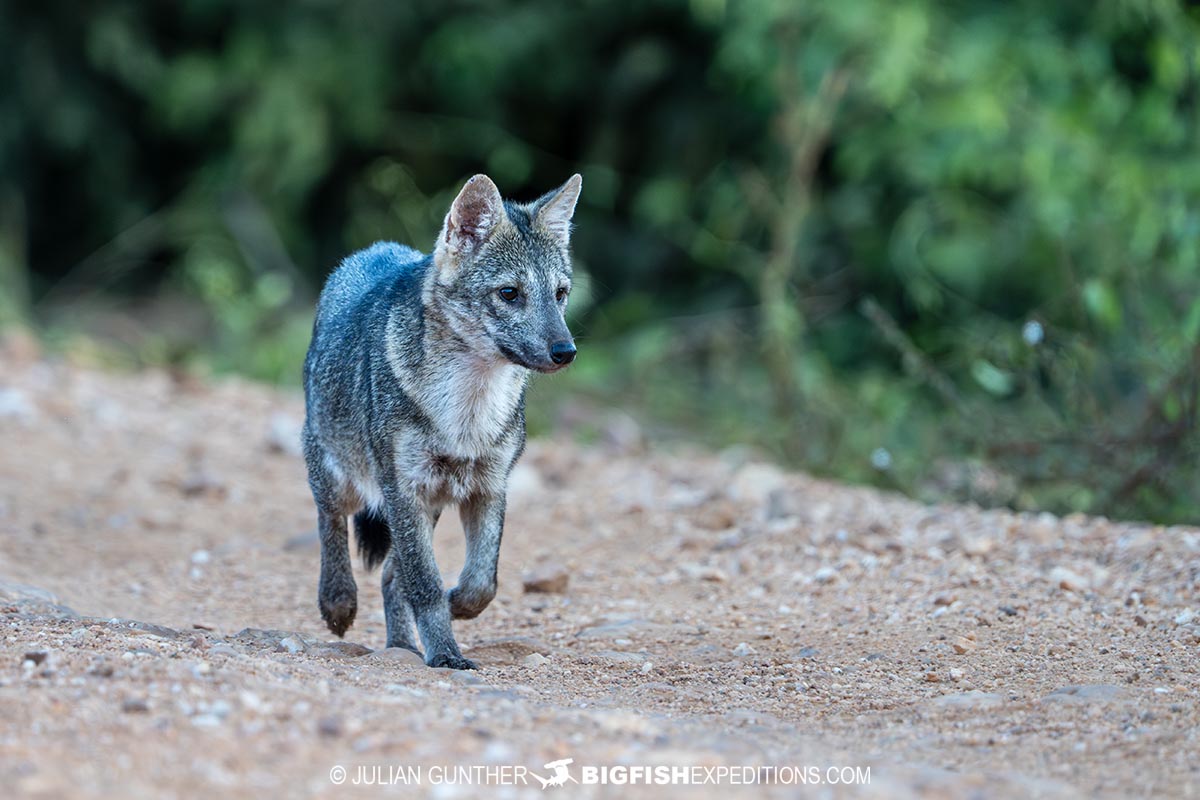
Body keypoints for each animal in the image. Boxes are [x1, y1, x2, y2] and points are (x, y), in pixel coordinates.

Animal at [301, 173, 582, 669]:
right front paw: (448, 655)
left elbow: (480, 581)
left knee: (391, 575)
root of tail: (375, 249)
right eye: (510, 293)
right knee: (330, 523)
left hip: (426, 505)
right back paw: (338, 602)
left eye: (560, 294)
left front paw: (457, 611)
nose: (565, 351)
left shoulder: (490, 485)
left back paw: (403, 647)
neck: (467, 411)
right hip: (342, 478)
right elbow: (425, 585)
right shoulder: (402, 487)